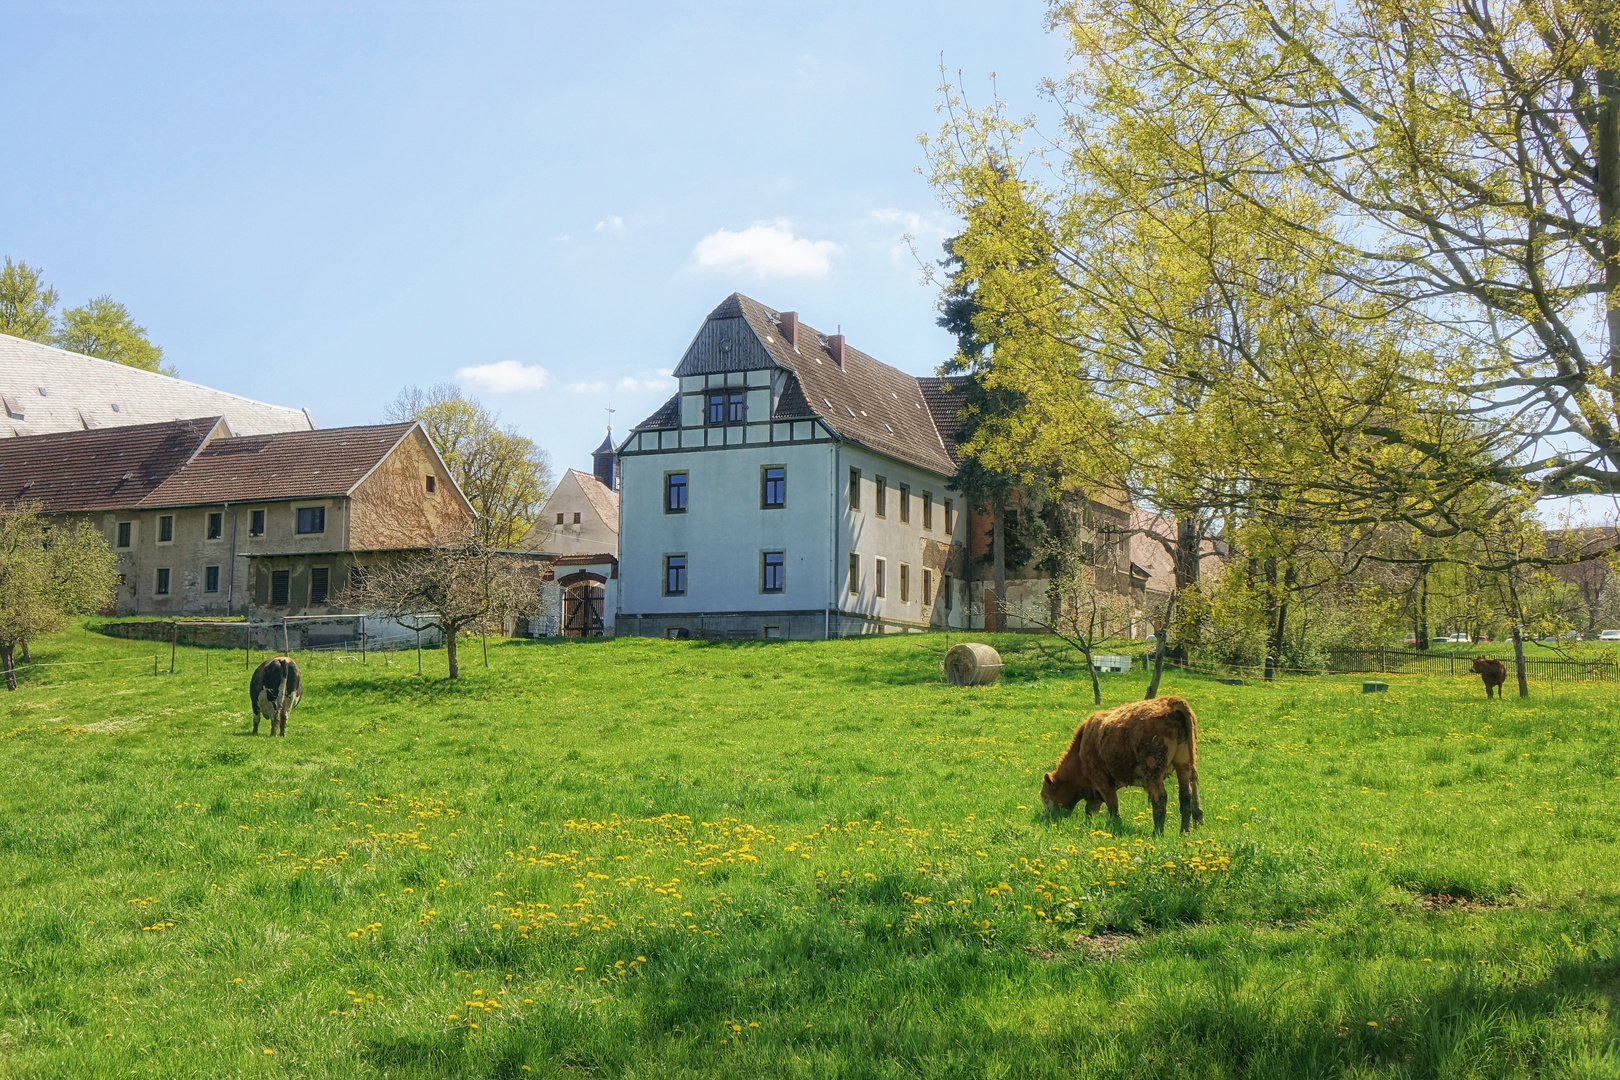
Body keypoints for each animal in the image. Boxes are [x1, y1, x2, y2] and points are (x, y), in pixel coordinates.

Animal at [1036, 696, 1205, 841]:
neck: (1081, 747)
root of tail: (1169, 701)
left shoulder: (1101, 781)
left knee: (1160, 797)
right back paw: (1184, 831)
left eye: (1045, 796)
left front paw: (1115, 825)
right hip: (1183, 764)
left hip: (1153, 770)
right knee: (1186, 795)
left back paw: (1157, 833)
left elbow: (1112, 806)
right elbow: (1091, 808)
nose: (1047, 815)